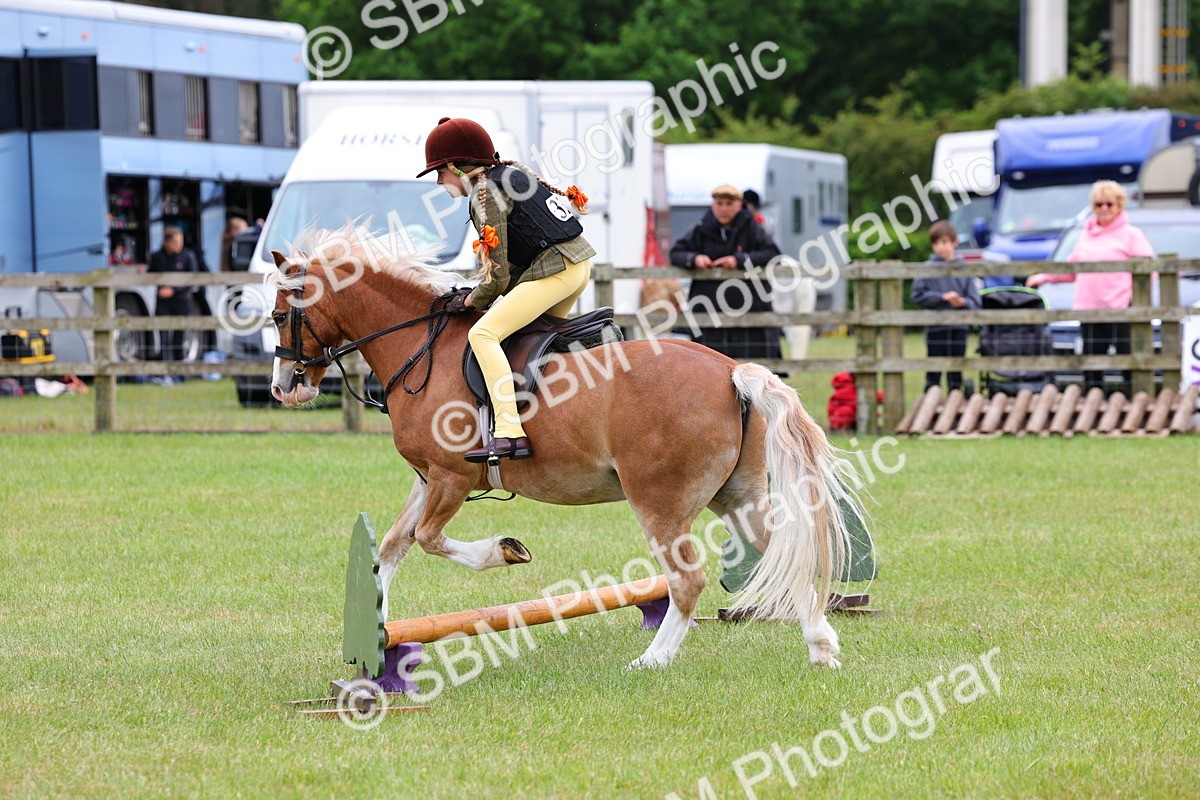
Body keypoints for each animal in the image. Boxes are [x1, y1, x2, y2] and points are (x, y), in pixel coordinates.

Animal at [267, 225, 865, 669]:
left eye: (277, 315)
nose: (283, 389)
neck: (420, 348)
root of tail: (730, 370)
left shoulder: (451, 477)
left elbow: (430, 539)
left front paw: (505, 550)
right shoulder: (427, 478)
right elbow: (393, 546)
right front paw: (375, 631)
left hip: (660, 501)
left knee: (687, 580)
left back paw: (652, 659)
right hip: (737, 497)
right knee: (787, 552)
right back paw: (821, 648)